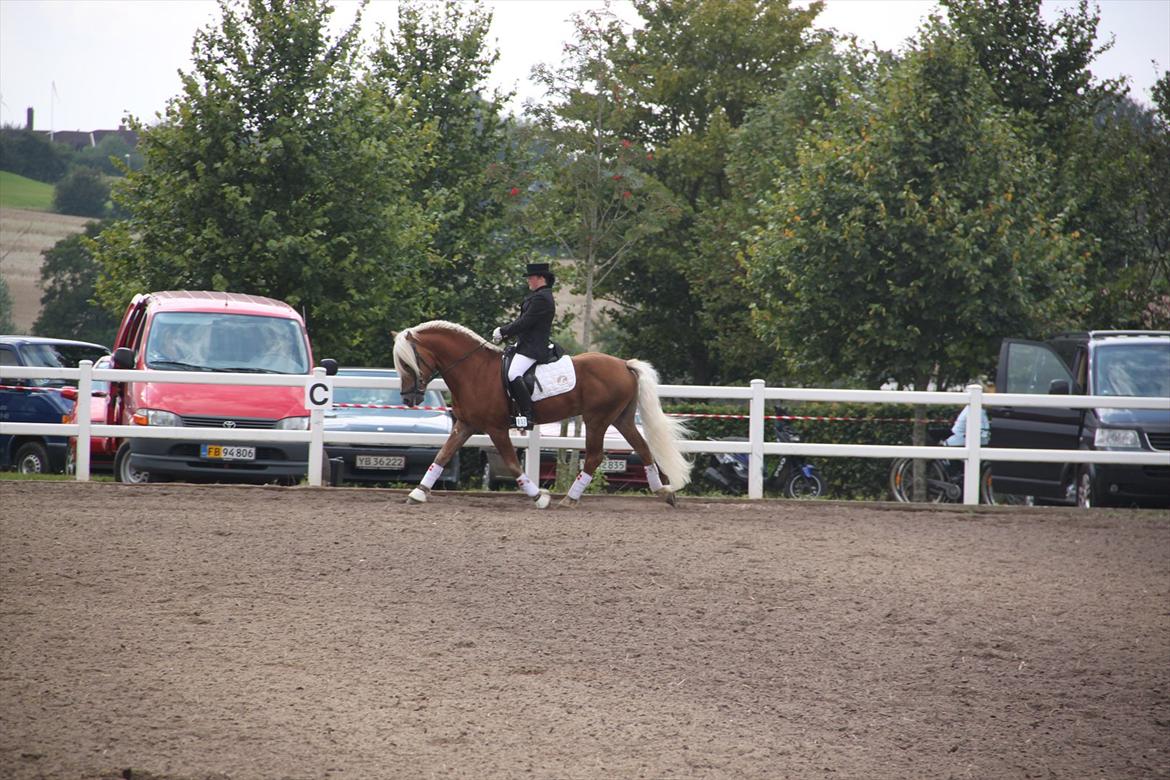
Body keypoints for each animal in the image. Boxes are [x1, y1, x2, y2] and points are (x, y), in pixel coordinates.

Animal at [393, 320, 687, 509]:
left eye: (407, 363)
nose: (408, 399)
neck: (473, 370)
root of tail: (625, 364)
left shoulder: (495, 428)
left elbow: (513, 464)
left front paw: (540, 497)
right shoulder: (465, 425)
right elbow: (442, 455)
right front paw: (418, 493)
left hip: (597, 419)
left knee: (594, 456)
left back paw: (570, 498)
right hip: (621, 418)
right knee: (643, 447)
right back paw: (664, 493)